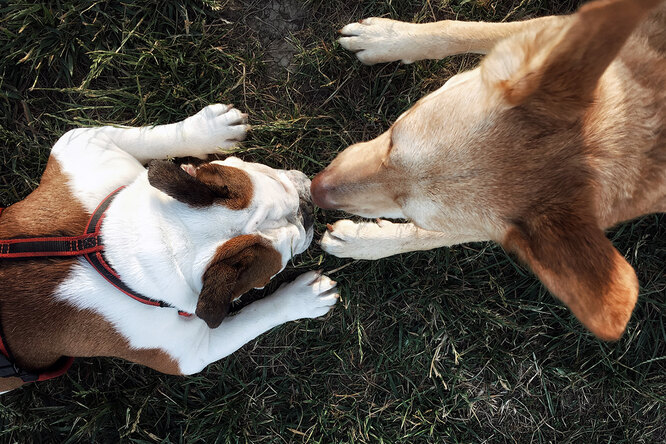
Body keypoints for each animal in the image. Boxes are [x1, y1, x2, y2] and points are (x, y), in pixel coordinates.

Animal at [1, 104, 338, 392]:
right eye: (280, 266)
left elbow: (146, 137)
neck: (117, 251)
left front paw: (210, 129)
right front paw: (301, 298)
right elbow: (258, 314)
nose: (307, 210)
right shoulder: (191, 352)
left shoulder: (82, 144)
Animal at [312, 0, 664, 340]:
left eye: (410, 213)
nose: (315, 190)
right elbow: (461, 30)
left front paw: (364, 242)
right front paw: (386, 38)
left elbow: (439, 237)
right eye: (394, 135)